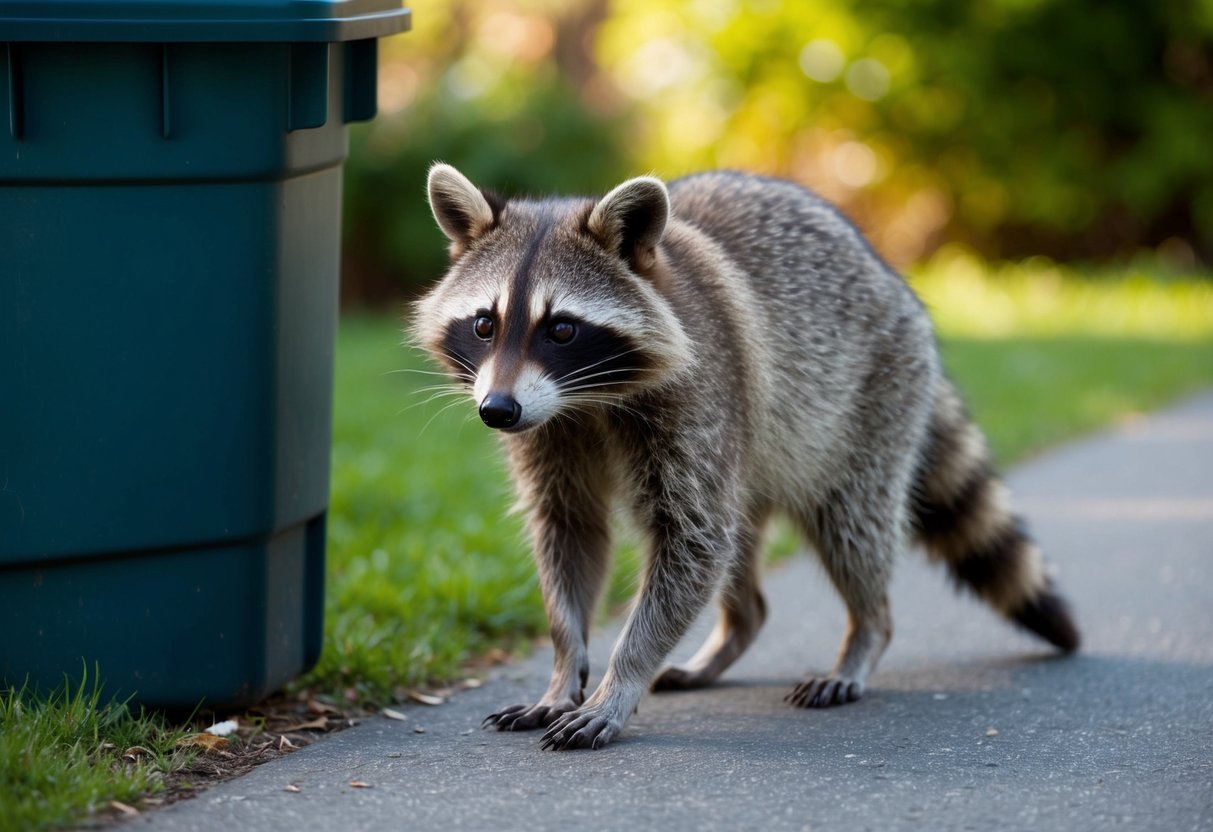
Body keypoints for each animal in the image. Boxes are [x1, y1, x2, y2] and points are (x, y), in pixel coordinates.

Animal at [412, 164, 1079, 751]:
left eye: (562, 329)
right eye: (484, 324)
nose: (496, 411)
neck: (586, 399)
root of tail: (890, 275)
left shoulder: (701, 394)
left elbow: (694, 540)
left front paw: (619, 680)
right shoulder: (551, 434)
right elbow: (570, 531)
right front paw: (564, 665)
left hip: (872, 398)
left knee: (851, 525)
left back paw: (866, 631)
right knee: (744, 545)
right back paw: (737, 628)